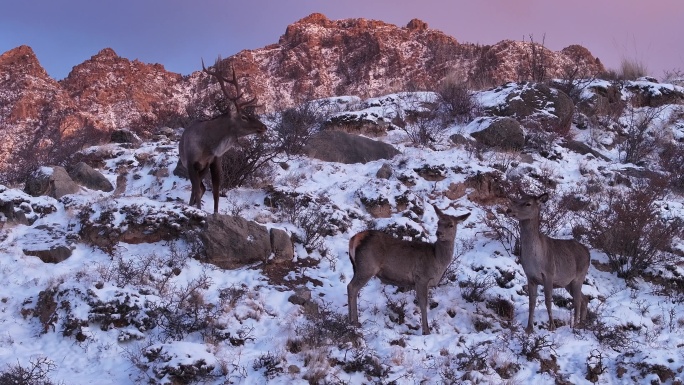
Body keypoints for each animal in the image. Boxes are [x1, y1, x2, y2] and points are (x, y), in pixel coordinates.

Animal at [179, 57, 268, 213]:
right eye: (244, 116)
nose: (263, 127)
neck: (208, 146)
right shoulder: (190, 163)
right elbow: (198, 190)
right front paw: (198, 209)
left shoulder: (212, 161)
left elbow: (215, 192)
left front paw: (214, 213)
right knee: (197, 188)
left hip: (203, 169)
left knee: (201, 188)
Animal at [348, 206, 470, 334]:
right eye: (438, 222)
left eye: (451, 225)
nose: (439, 233)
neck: (437, 260)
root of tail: (354, 239)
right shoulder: (421, 277)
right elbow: (423, 304)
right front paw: (426, 331)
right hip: (367, 267)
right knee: (352, 287)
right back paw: (355, 322)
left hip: (358, 267)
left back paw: (350, 321)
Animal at [504, 194, 592, 332]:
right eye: (516, 200)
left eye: (528, 203)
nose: (509, 210)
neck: (535, 258)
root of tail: (588, 252)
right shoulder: (530, 277)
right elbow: (532, 302)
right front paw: (529, 329)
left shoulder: (549, 274)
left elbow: (547, 301)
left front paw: (552, 326)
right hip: (568, 283)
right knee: (584, 299)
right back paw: (582, 324)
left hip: (579, 276)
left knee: (577, 301)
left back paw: (575, 326)